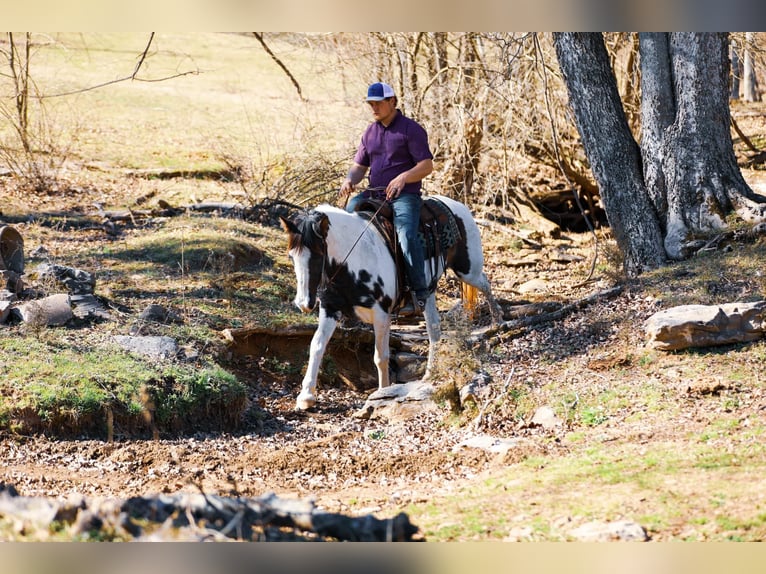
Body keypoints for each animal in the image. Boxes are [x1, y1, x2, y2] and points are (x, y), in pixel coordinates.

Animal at [279, 194, 501, 411]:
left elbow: (380, 356)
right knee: (434, 328)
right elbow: (316, 345)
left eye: (318, 255)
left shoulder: (381, 314)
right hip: (429, 292)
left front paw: (382, 392)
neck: (355, 260)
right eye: (291, 256)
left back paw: (497, 320)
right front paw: (306, 397)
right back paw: (431, 373)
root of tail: (457, 205)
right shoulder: (330, 308)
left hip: (467, 270)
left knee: (485, 283)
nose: (303, 303)